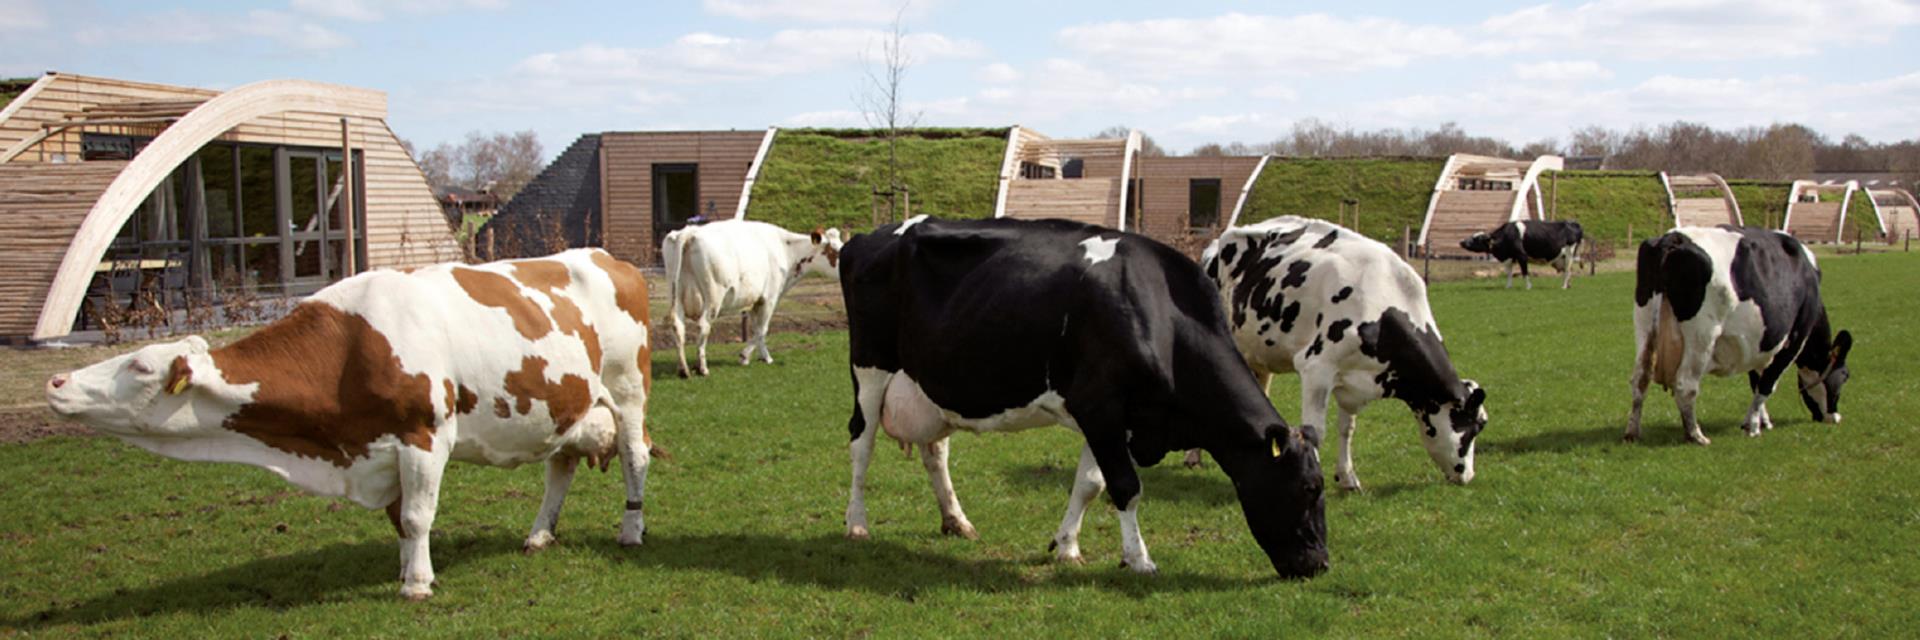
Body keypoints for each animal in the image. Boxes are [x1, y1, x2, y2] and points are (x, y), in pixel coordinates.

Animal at [44, 248, 656, 600]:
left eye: (138, 366)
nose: (55, 382)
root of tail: (607, 255)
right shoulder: (380, 448)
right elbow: (399, 520)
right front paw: (410, 570)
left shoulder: (424, 435)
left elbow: (415, 516)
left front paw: (416, 585)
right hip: (569, 406)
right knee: (562, 464)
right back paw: (539, 533)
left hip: (628, 389)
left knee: (635, 455)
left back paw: (631, 529)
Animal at [662, 219, 844, 378]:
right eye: (835, 251)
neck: (786, 249)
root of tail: (690, 231)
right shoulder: (769, 298)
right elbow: (762, 329)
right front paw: (749, 356)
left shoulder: (754, 300)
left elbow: (756, 328)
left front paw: (760, 356)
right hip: (713, 296)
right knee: (703, 325)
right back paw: (703, 369)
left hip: (675, 294)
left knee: (678, 326)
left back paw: (683, 370)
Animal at [839, 216, 1329, 579]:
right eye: (1310, 487)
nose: (1321, 564)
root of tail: (869, 236)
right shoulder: (1100, 405)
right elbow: (1126, 486)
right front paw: (1139, 559)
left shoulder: (1112, 416)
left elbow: (1091, 484)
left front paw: (1066, 547)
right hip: (869, 368)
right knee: (861, 444)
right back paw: (857, 523)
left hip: (931, 385)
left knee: (934, 451)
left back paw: (956, 521)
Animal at [1186, 216, 1488, 491]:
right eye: (1475, 427)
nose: (1468, 476)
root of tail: (1215, 243)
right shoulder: (1316, 368)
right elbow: (1316, 432)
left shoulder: (1352, 382)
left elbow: (1347, 429)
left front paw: (1347, 478)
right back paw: (1193, 456)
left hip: (1256, 351)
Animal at [1627, 226, 1855, 445]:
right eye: (1844, 376)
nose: (1835, 417)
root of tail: (1674, 238)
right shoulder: (1794, 339)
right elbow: (1767, 384)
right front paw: (1752, 425)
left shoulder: (1760, 344)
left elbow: (1756, 380)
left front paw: (1762, 421)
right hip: (1702, 335)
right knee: (1685, 384)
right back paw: (1696, 435)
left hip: (1644, 324)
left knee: (1640, 379)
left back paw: (1633, 433)